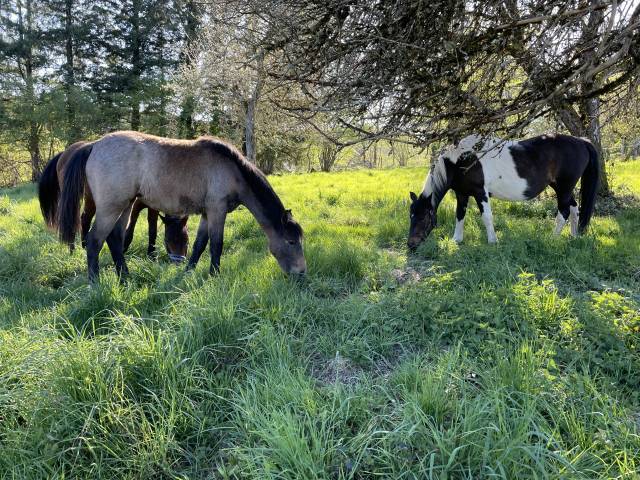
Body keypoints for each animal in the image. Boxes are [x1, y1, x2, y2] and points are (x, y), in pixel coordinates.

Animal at [37, 142, 189, 262]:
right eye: (168, 240)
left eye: (186, 240)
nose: (177, 261)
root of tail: (65, 153)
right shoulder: (134, 206)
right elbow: (131, 228)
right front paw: (126, 248)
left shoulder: (152, 207)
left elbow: (152, 229)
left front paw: (152, 254)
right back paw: (73, 249)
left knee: (85, 218)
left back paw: (84, 246)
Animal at [410, 134, 600, 249]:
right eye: (411, 216)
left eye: (424, 217)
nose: (410, 245)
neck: (462, 160)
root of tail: (581, 141)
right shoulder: (462, 194)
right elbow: (460, 215)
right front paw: (457, 240)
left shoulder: (480, 193)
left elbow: (487, 217)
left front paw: (493, 241)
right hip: (562, 188)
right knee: (574, 208)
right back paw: (574, 237)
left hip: (564, 187)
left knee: (564, 211)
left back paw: (552, 239)